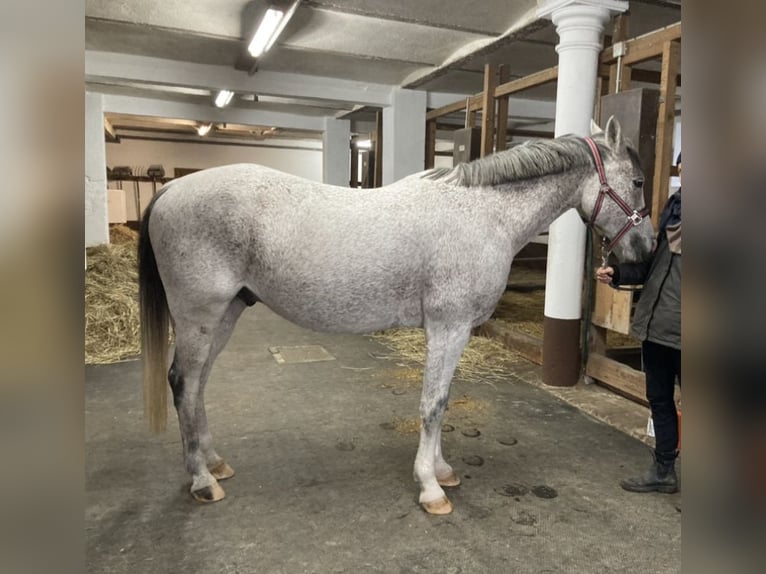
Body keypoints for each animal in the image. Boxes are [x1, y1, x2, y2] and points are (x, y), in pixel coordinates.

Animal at [140, 117, 656, 516]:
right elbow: (433, 404)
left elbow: (443, 401)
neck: (483, 214)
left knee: (197, 386)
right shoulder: (448, 328)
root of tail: (172, 188)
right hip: (200, 316)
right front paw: (430, 487)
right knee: (184, 383)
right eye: (637, 181)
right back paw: (202, 480)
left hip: (225, 314)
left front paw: (442, 472)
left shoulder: (455, 332)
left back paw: (214, 462)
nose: (646, 251)